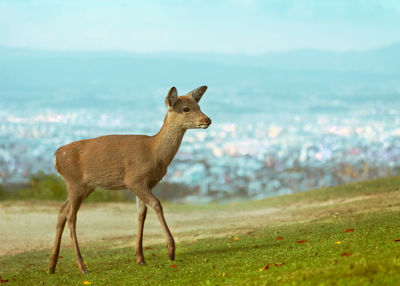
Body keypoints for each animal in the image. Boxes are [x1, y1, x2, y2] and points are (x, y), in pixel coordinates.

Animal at [49, 86, 212, 274]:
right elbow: (157, 204)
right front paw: (170, 251)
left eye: (198, 105)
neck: (154, 152)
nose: (207, 120)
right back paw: (82, 266)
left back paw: (52, 265)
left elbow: (141, 214)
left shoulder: (146, 184)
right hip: (74, 182)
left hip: (86, 186)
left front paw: (140, 257)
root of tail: (56, 156)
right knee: (71, 215)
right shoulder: (134, 180)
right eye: (186, 108)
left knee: (62, 211)